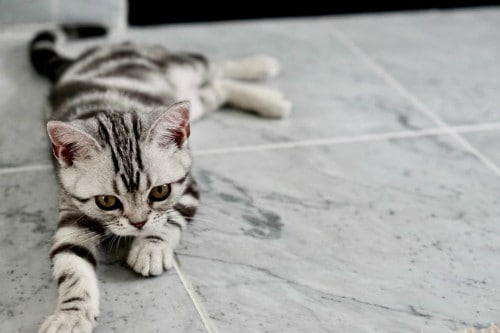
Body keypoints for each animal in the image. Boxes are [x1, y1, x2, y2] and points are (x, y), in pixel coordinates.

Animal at [29, 25, 292, 332]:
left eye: (159, 192)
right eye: (107, 201)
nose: (138, 223)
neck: (108, 111)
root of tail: (77, 61)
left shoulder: (187, 186)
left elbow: (170, 218)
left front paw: (150, 248)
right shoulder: (71, 213)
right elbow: (71, 266)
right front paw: (71, 314)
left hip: (180, 68)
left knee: (212, 66)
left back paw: (262, 71)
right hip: (193, 103)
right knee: (216, 89)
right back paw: (269, 98)